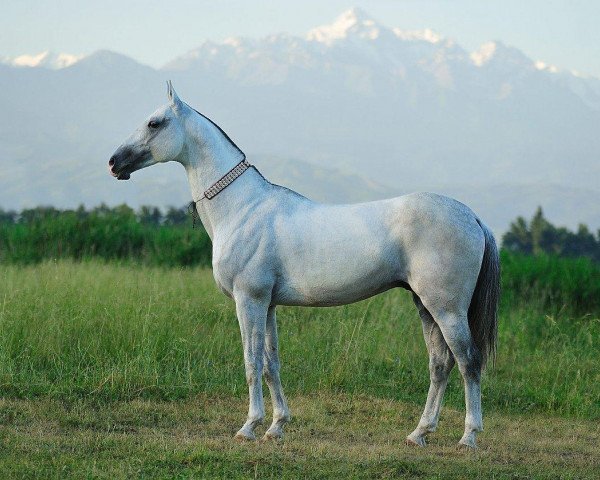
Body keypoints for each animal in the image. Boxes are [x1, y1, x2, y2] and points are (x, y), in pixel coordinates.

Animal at [110, 81, 500, 446]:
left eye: (154, 122)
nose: (115, 163)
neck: (243, 207)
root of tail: (473, 217)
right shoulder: (267, 305)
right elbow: (271, 364)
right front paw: (276, 427)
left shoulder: (249, 300)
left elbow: (252, 362)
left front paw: (249, 427)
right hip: (424, 304)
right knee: (440, 364)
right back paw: (419, 433)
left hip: (446, 307)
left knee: (468, 361)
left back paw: (469, 436)